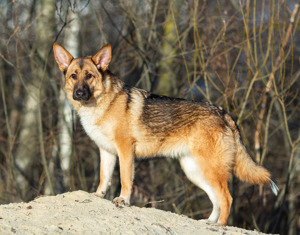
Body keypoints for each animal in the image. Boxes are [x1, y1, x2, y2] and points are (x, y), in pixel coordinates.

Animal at [52, 42, 278, 226]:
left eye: (89, 76)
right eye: (74, 76)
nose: (79, 93)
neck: (100, 104)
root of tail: (224, 113)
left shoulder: (125, 151)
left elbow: (125, 180)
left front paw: (123, 200)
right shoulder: (106, 152)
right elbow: (103, 178)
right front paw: (98, 195)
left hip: (211, 170)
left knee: (227, 198)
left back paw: (220, 225)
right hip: (195, 172)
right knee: (216, 199)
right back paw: (209, 222)